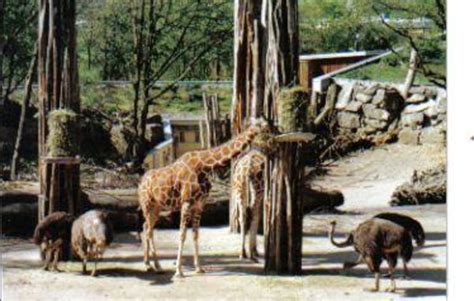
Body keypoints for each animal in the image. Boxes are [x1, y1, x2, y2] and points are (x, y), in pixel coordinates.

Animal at [138, 117, 270, 276]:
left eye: (265, 122)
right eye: (260, 124)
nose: (269, 129)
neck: (205, 165)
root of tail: (141, 182)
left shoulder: (200, 204)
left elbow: (195, 234)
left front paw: (199, 268)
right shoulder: (186, 202)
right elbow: (182, 234)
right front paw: (179, 270)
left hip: (157, 206)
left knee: (146, 227)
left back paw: (151, 265)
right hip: (147, 203)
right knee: (148, 230)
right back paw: (152, 265)